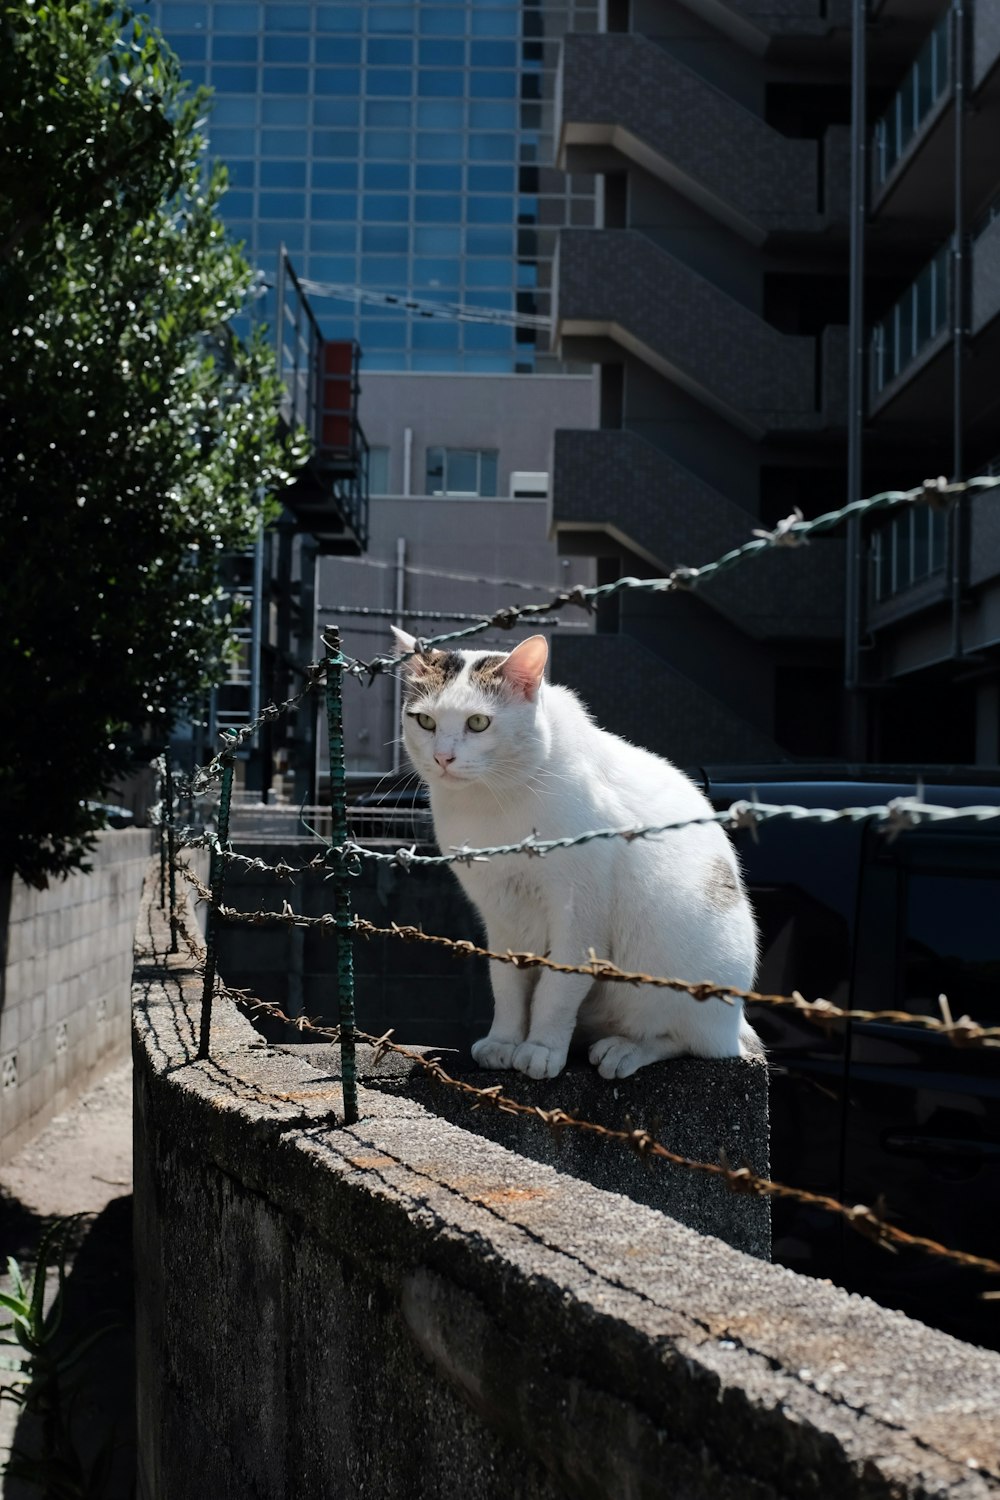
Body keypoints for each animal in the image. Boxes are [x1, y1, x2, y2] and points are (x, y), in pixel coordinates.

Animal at [389, 630, 758, 1080]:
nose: (443, 757)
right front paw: (504, 1041)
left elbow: (557, 987)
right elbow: (506, 984)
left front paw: (541, 1048)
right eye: (424, 721)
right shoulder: (500, 912)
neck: (492, 803)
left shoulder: (579, 912)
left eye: (478, 722)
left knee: (688, 1041)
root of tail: (736, 1021)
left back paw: (624, 1050)